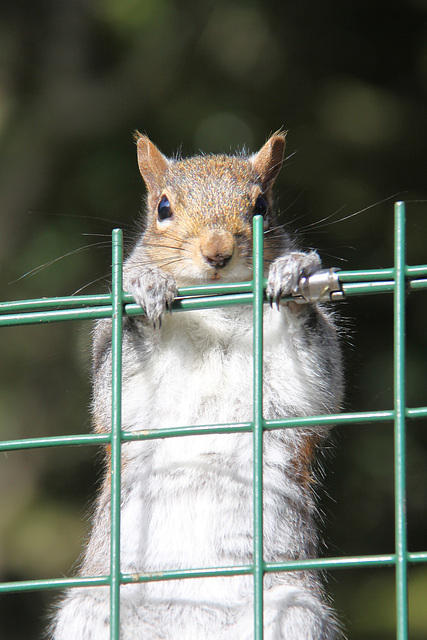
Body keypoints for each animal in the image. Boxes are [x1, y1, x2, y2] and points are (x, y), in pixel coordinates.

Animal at [49, 132, 344, 636]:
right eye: (163, 207)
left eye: (262, 205)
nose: (217, 252)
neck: (215, 311)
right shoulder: (127, 398)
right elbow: (115, 389)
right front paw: (144, 283)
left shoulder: (297, 392)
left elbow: (317, 386)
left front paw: (293, 272)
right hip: (90, 612)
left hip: (292, 612)